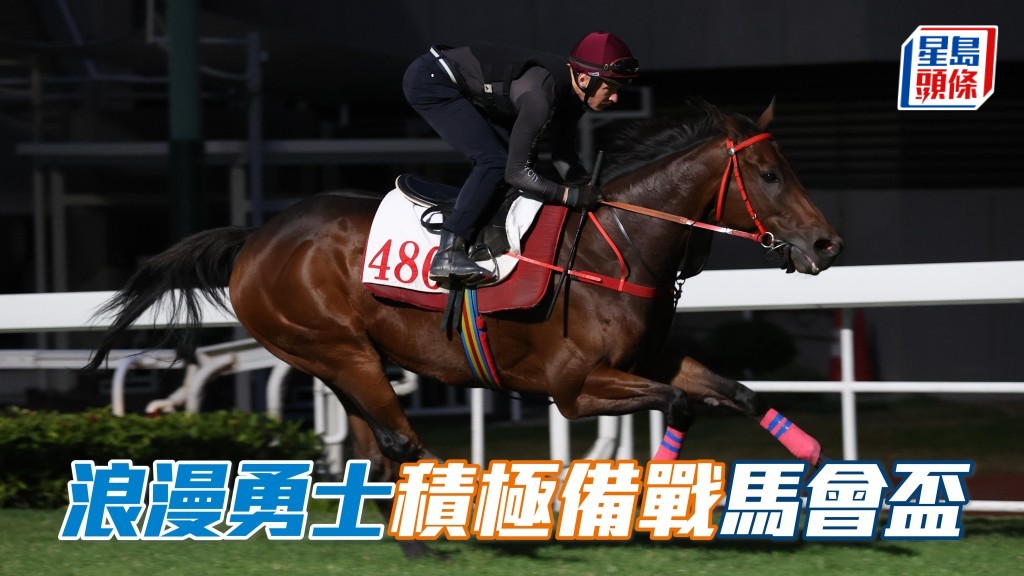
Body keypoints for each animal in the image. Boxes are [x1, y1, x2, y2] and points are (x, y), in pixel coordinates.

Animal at [86, 99, 842, 552]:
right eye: (770, 174)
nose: (827, 244)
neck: (615, 248)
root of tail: (254, 237)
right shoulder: (574, 386)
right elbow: (682, 401)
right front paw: (651, 501)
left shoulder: (644, 359)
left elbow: (734, 389)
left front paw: (810, 459)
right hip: (334, 348)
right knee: (399, 440)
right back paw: (464, 525)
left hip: (342, 359)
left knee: (372, 446)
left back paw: (413, 534)